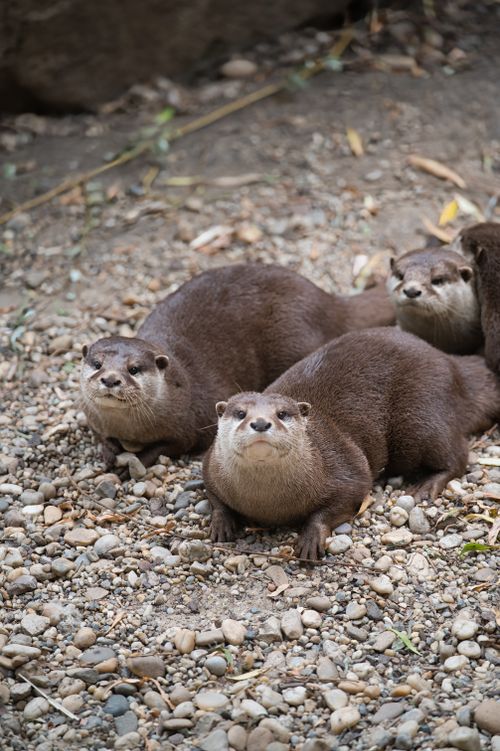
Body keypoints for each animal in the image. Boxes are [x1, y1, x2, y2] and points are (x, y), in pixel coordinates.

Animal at [80, 264, 395, 468]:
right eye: (97, 363)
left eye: (133, 369)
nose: (110, 379)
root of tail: (328, 303)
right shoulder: (94, 419)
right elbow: (100, 436)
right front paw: (108, 452)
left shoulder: (190, 423)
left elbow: (168, 447)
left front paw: (134, 460)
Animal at [203, 328, 500, 560]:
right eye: (240, 413)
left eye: (283, 413)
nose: (261, 423)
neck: (268, 503)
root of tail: (450, 363)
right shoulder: (209, 466)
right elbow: (215, 497)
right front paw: (222, 523)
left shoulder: (347, 468)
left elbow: (345, 497)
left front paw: (311, 537)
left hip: (422, 415)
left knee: (457, 454)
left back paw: (426, 486)